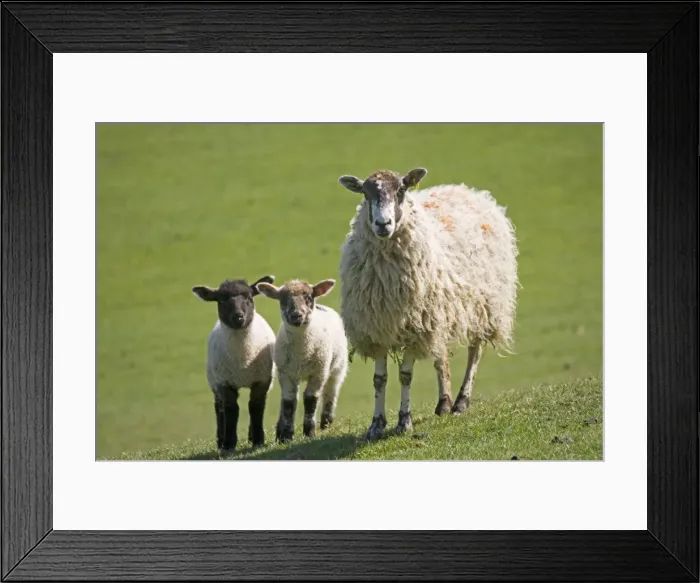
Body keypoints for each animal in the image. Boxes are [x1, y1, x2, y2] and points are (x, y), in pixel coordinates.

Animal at [192, 275, 277, 453]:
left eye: (249, 298)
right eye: (221, 301)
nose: (238, 317)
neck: (243, 359)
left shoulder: (262, 381)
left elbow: (255, 407)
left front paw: (258, 440)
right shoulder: (224, 383)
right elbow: (231, 410)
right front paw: (229, 444)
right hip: (214, 380)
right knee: (219, 407)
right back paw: (220, 439)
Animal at [256, 278, 349, 443]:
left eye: (309, 297)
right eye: (282, 299)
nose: (296, 315)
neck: (302, 352)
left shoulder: (319, 373)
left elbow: (311, 400)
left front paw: (309, 432)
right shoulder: (285, 374)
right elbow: (289, 402)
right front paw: (286, 436)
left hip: (338, 367)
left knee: (331, 391)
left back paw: (326, 422)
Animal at [337, 167, 519, 441]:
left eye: (401, 190)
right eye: (365, 194)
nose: (382, 224)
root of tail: (468, 191)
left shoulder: (415, 328)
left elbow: (405, 375)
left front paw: (404, 422)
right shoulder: (377, 327)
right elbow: (379, 379)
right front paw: (376, 425)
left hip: (485, 305)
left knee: (475, 352)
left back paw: (461, 402)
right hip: (438, 313)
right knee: (440, 356)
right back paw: (444, 403)